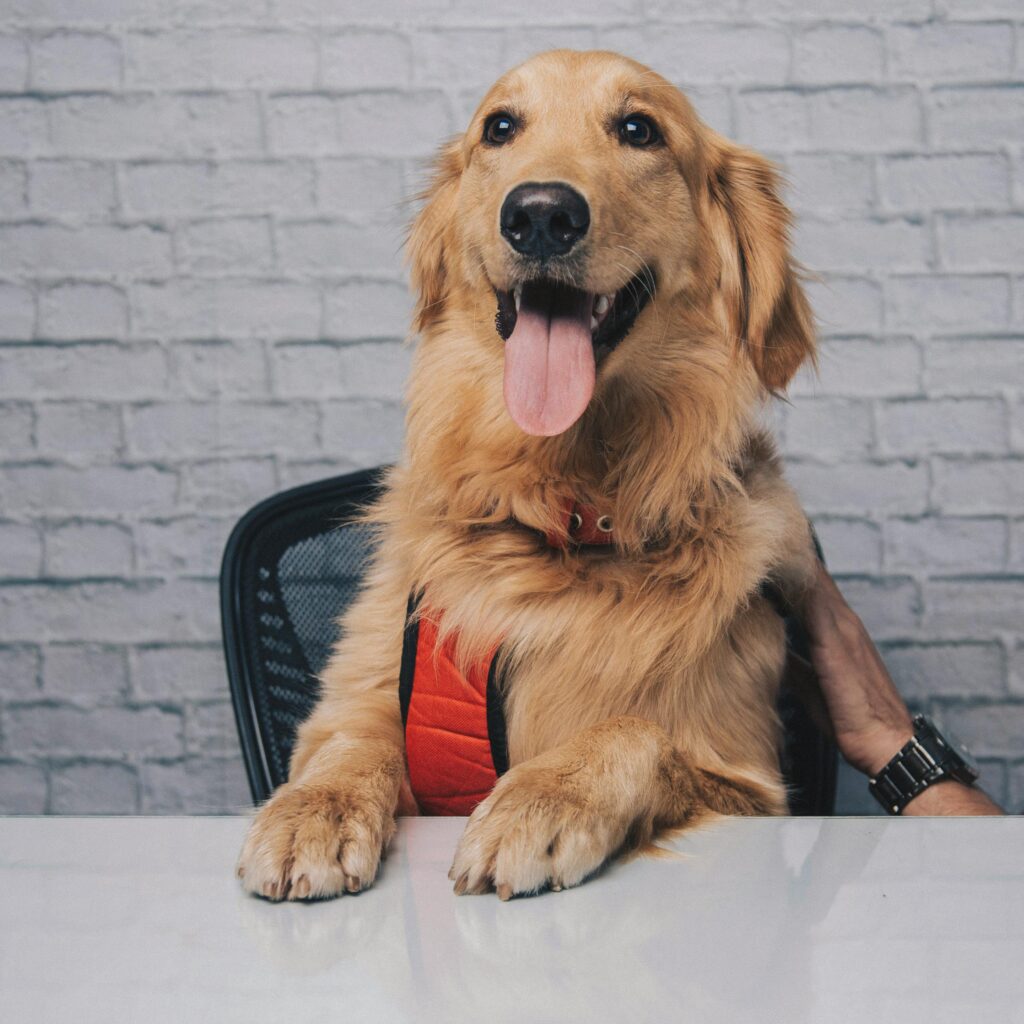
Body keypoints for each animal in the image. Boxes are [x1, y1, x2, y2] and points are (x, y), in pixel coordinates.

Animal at [235, 51, 819, 905]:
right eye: (500, 127)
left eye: (639, 129)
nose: (541, 214)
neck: (562, 514)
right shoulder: (365, 696)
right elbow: (352, 740)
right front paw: (315, 810)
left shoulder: (752, 785)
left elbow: (635, 728)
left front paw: (542, 798)